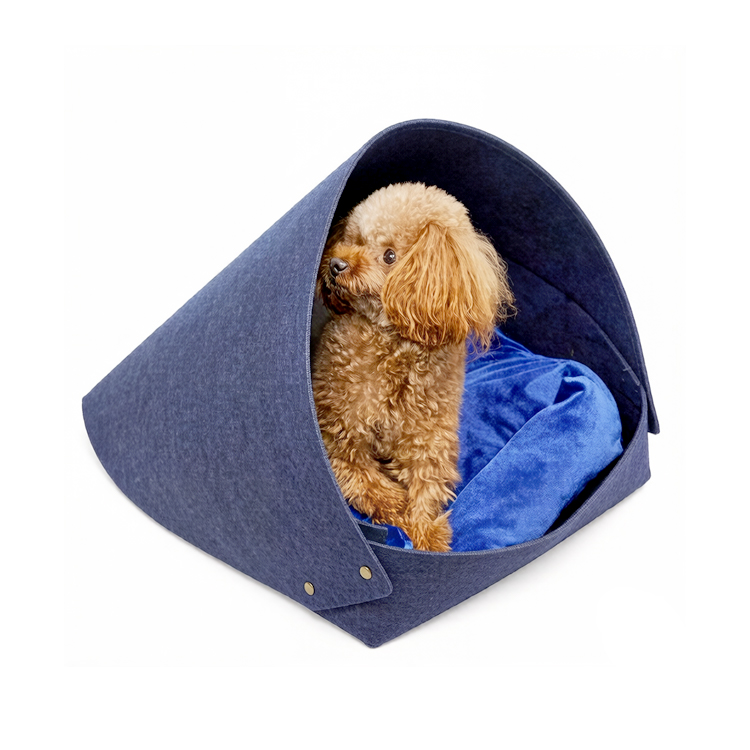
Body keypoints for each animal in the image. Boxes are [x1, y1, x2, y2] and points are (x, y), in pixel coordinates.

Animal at [312, 183, 514, 551]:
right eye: (354, 239)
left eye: (390, 256)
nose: (335, 264)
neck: (395, 348)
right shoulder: (339, 429)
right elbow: (363, 480)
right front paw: (395, 508)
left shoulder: (430, 436)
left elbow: (427, 482)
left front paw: (427, 534)